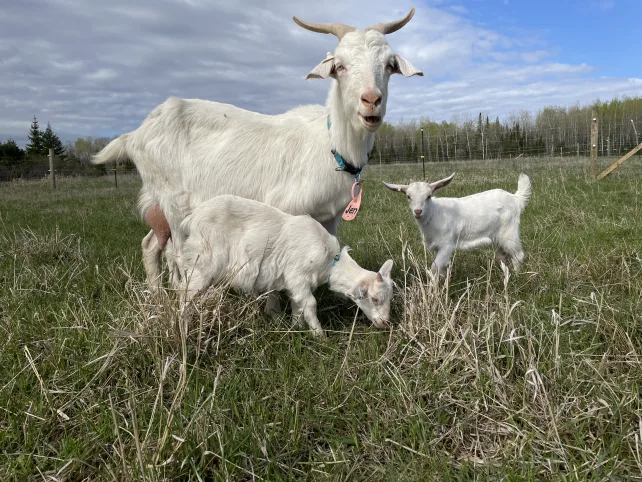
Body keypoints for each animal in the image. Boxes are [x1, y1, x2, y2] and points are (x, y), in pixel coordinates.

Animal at [91, 9, 422, 305]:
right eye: (339, 66)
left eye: (389, 65)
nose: (371, 100)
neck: (332, 145)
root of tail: (136, 134)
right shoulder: (284, 212)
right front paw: (276, 310)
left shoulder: (329, 218)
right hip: (175, 203)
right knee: (177, 253)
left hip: (159, 203)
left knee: (150, 244)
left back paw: (158, 295)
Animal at [171, 195, 394, 338]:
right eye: (375, 299)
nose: (386, 323)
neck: (331, 261)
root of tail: (190, 219)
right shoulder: (297, 275)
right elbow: (310, 304)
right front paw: (320, 336)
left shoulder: (294, 284)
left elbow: (297, 305)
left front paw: (296, 328)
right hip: (203, 261)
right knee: (185, 293)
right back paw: (184, 327)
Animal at [383, 173, 532, 278]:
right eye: (408, 196)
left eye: (429, 196)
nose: (418, 211)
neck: (434, 213)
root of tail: (516, 198)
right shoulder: (438, 247)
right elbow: (442, 269)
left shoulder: (447, 244)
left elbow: (434, 268)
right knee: (502, 256)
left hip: (509, 231)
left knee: (518, 255)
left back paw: (517, 276)